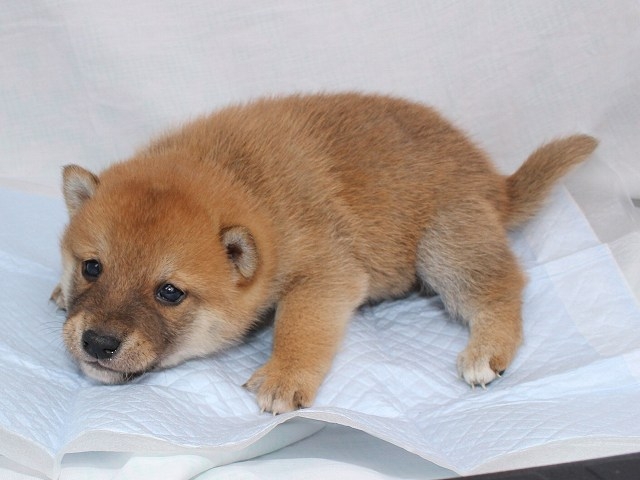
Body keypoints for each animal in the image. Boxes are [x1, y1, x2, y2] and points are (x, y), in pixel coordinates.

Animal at [52, 93, 597, 413]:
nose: (98, 342)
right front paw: (60, 290)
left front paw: (284, 375)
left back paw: (486, 352)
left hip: (444, 243)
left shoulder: (326, 276)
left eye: (169, 292)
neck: (248, 183)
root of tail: (495, 182)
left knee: (502, 288)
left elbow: (300, 324)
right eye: (92, 267)